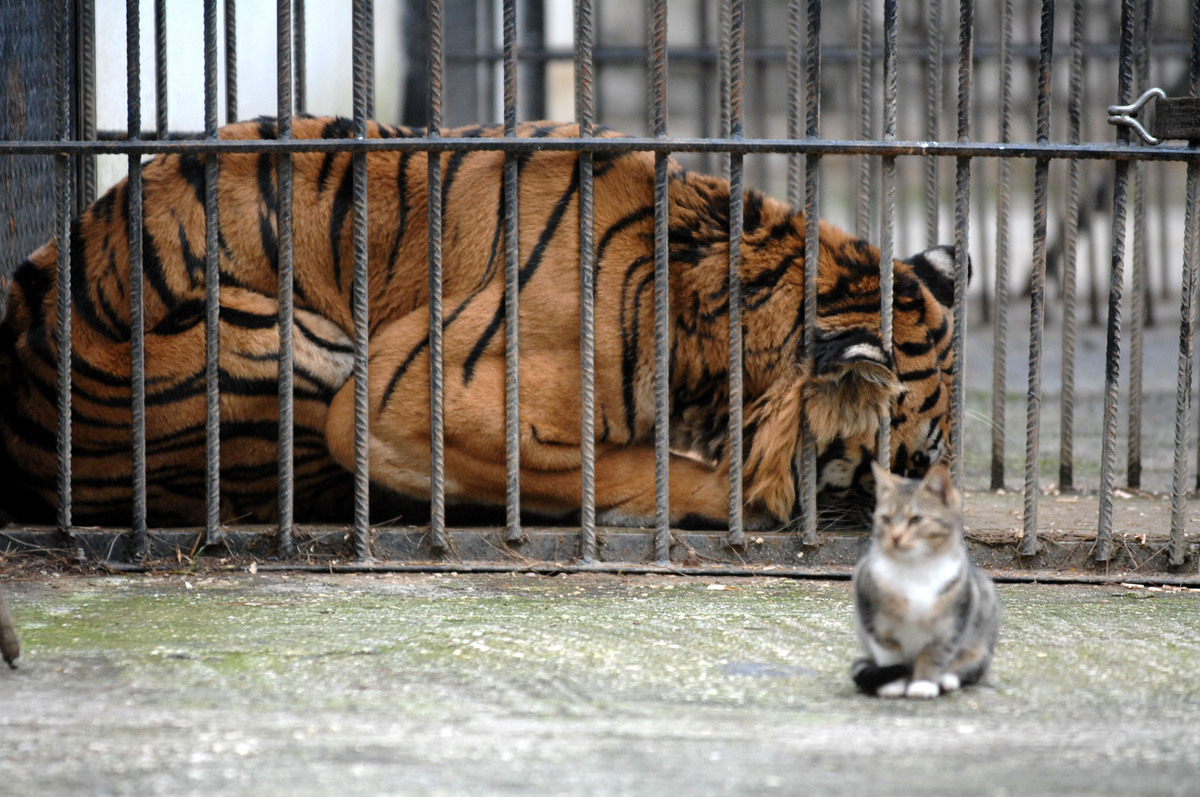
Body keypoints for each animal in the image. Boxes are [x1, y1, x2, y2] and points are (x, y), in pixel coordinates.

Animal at [849, 460, 998, 696]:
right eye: (886, 519)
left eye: (916, 519)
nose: (895, 537)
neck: (915, 569)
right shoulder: (875, 620)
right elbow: (889, 655)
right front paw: (892, 684)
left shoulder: (950, 626)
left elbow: (934, 655)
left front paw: (923, 683)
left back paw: (947, 678)